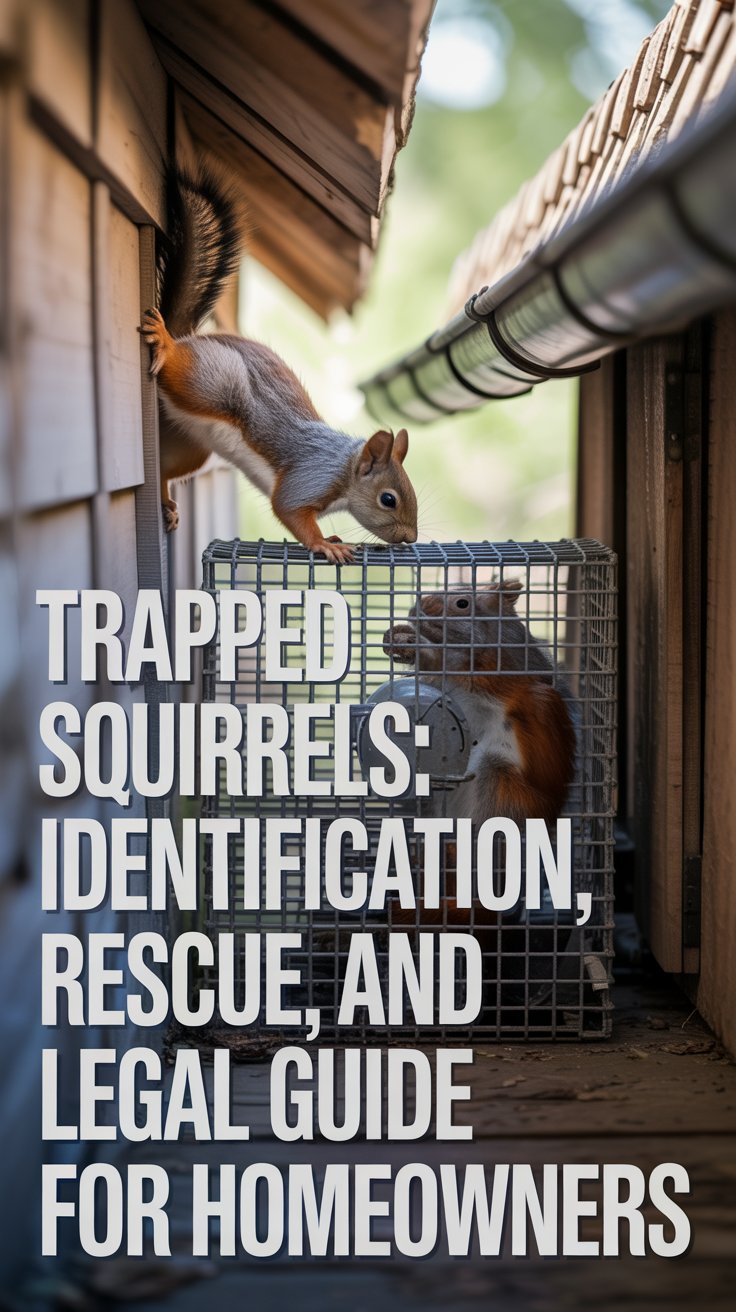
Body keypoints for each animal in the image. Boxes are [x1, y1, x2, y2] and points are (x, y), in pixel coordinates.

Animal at [140, 171, 418, 564]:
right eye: (388, 499)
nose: (410, 538)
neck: (344, 469)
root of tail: (188, 339)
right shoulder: (311, 477)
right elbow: (288, 509)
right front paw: (324, 544)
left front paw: (329, 538)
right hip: (209, 385)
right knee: (181, 368)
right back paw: (165, 342)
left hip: (190, 444)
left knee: (165, 467)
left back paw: (165, 500)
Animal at [382, 579, 577, 931]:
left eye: (462, 603)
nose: (422, 604)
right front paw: (400, 637)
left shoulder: (498, 669)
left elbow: (456, 665)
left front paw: (416, 643)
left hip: (502, 789)